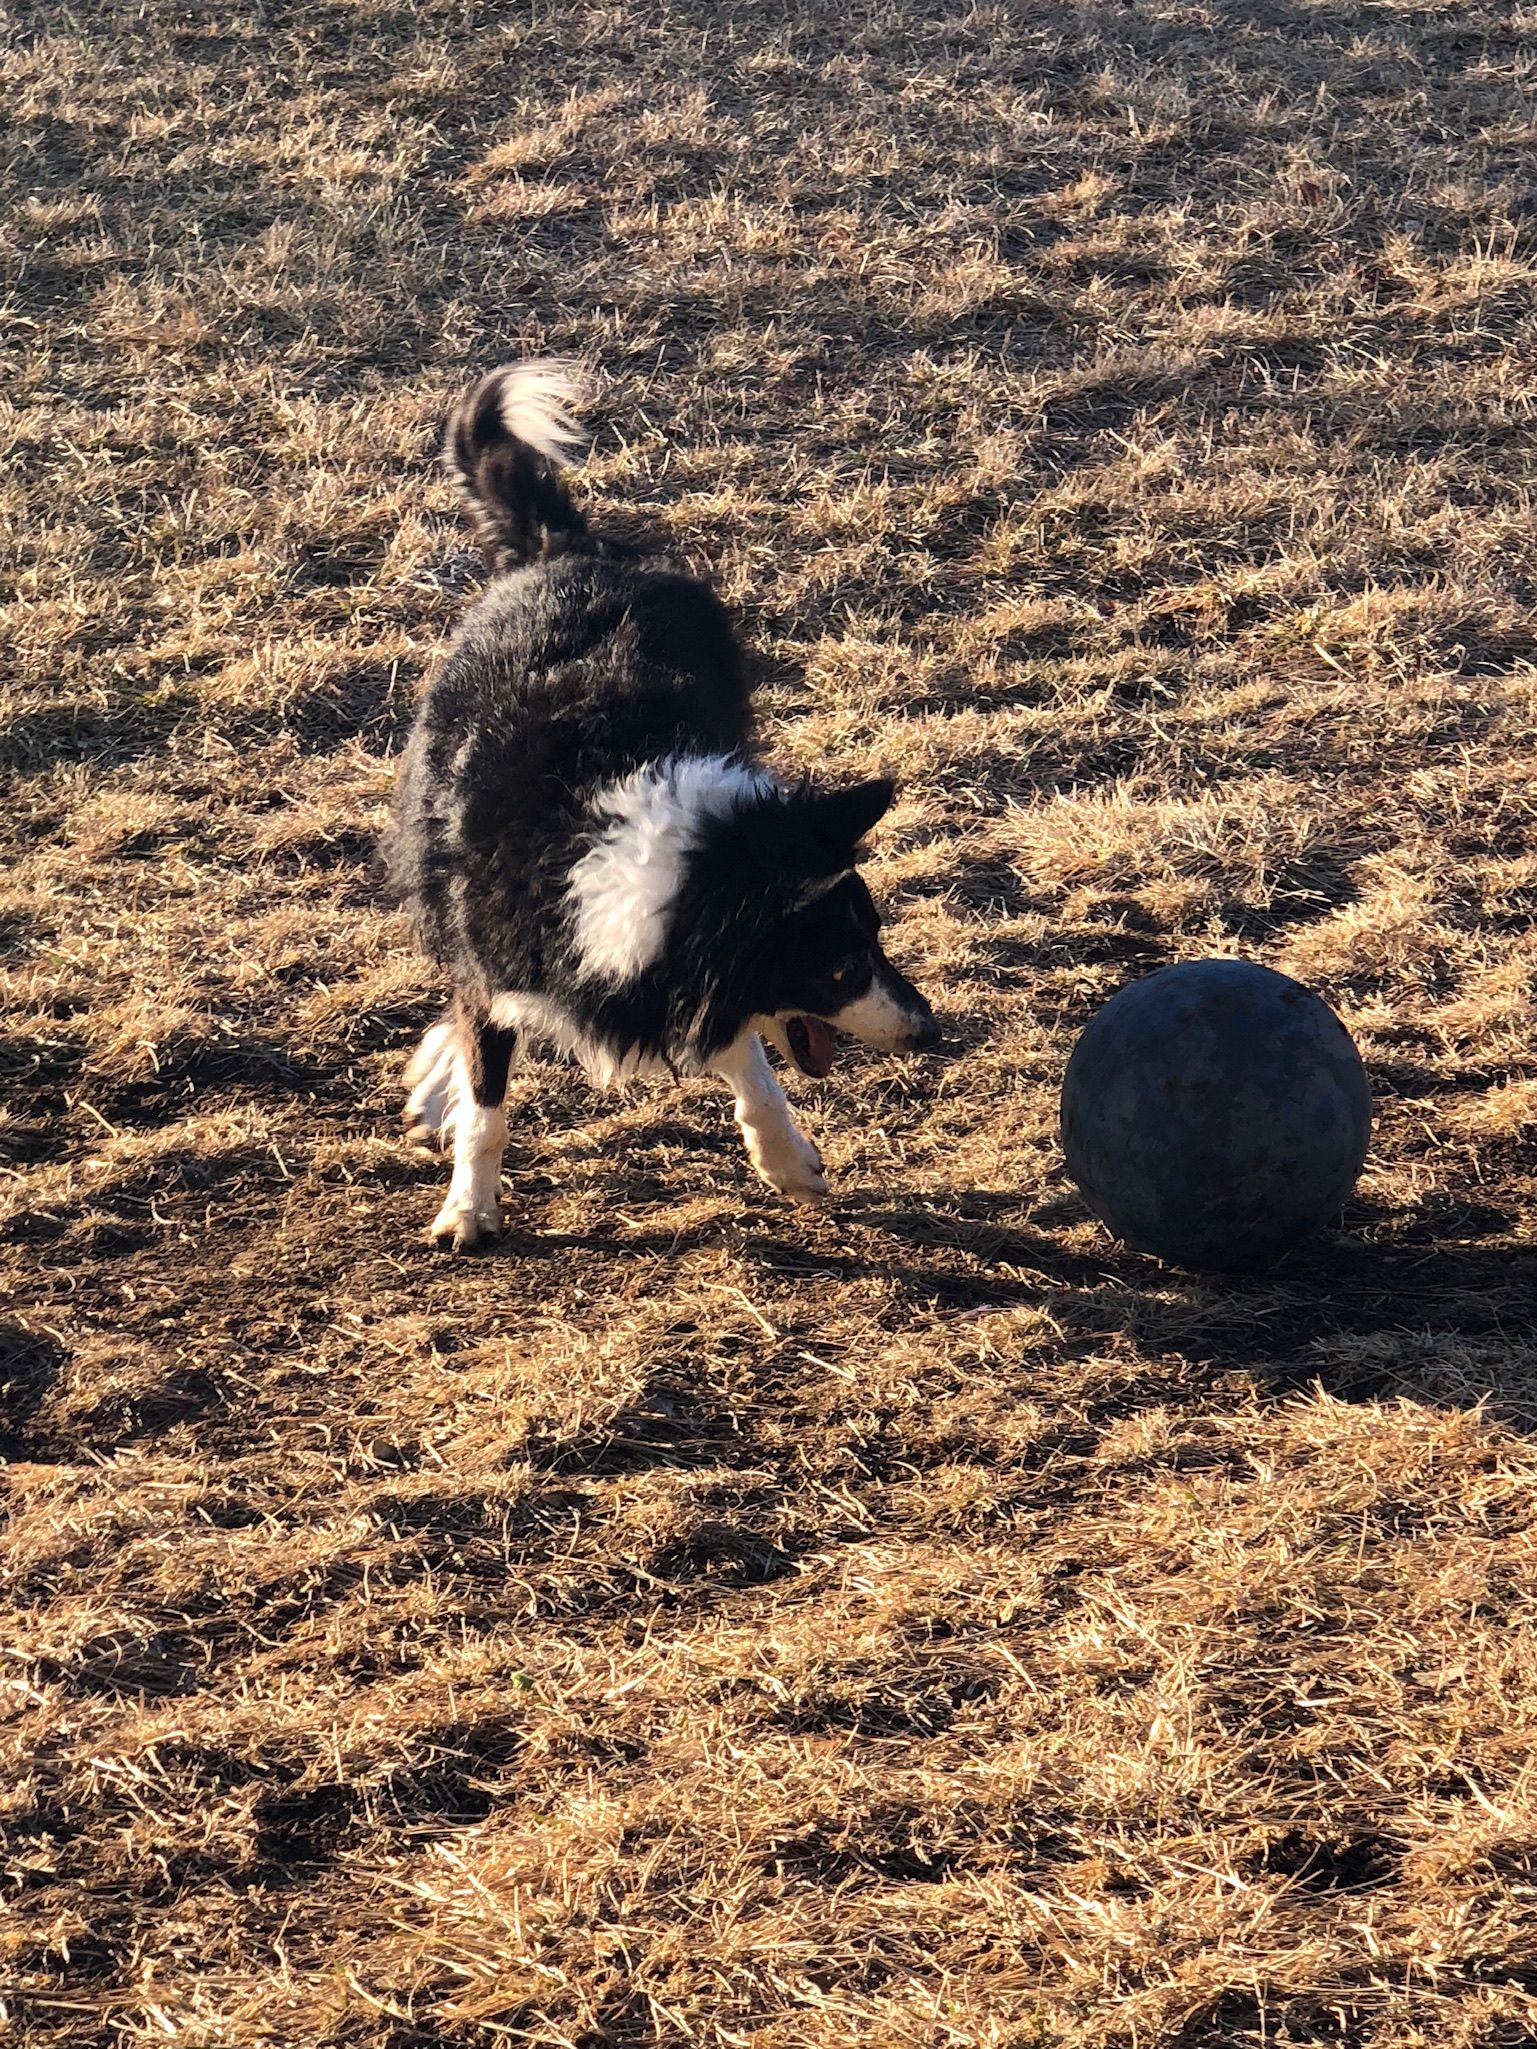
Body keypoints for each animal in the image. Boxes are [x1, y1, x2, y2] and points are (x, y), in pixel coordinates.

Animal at [385, 358, 938, 1237]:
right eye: (843, 965)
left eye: (875, 944)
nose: (931, 1032)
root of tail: (568, 549)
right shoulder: (501, 945)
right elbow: (488, 1098)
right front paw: (468, 1206)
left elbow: (743, 1051)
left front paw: (784, 1155)